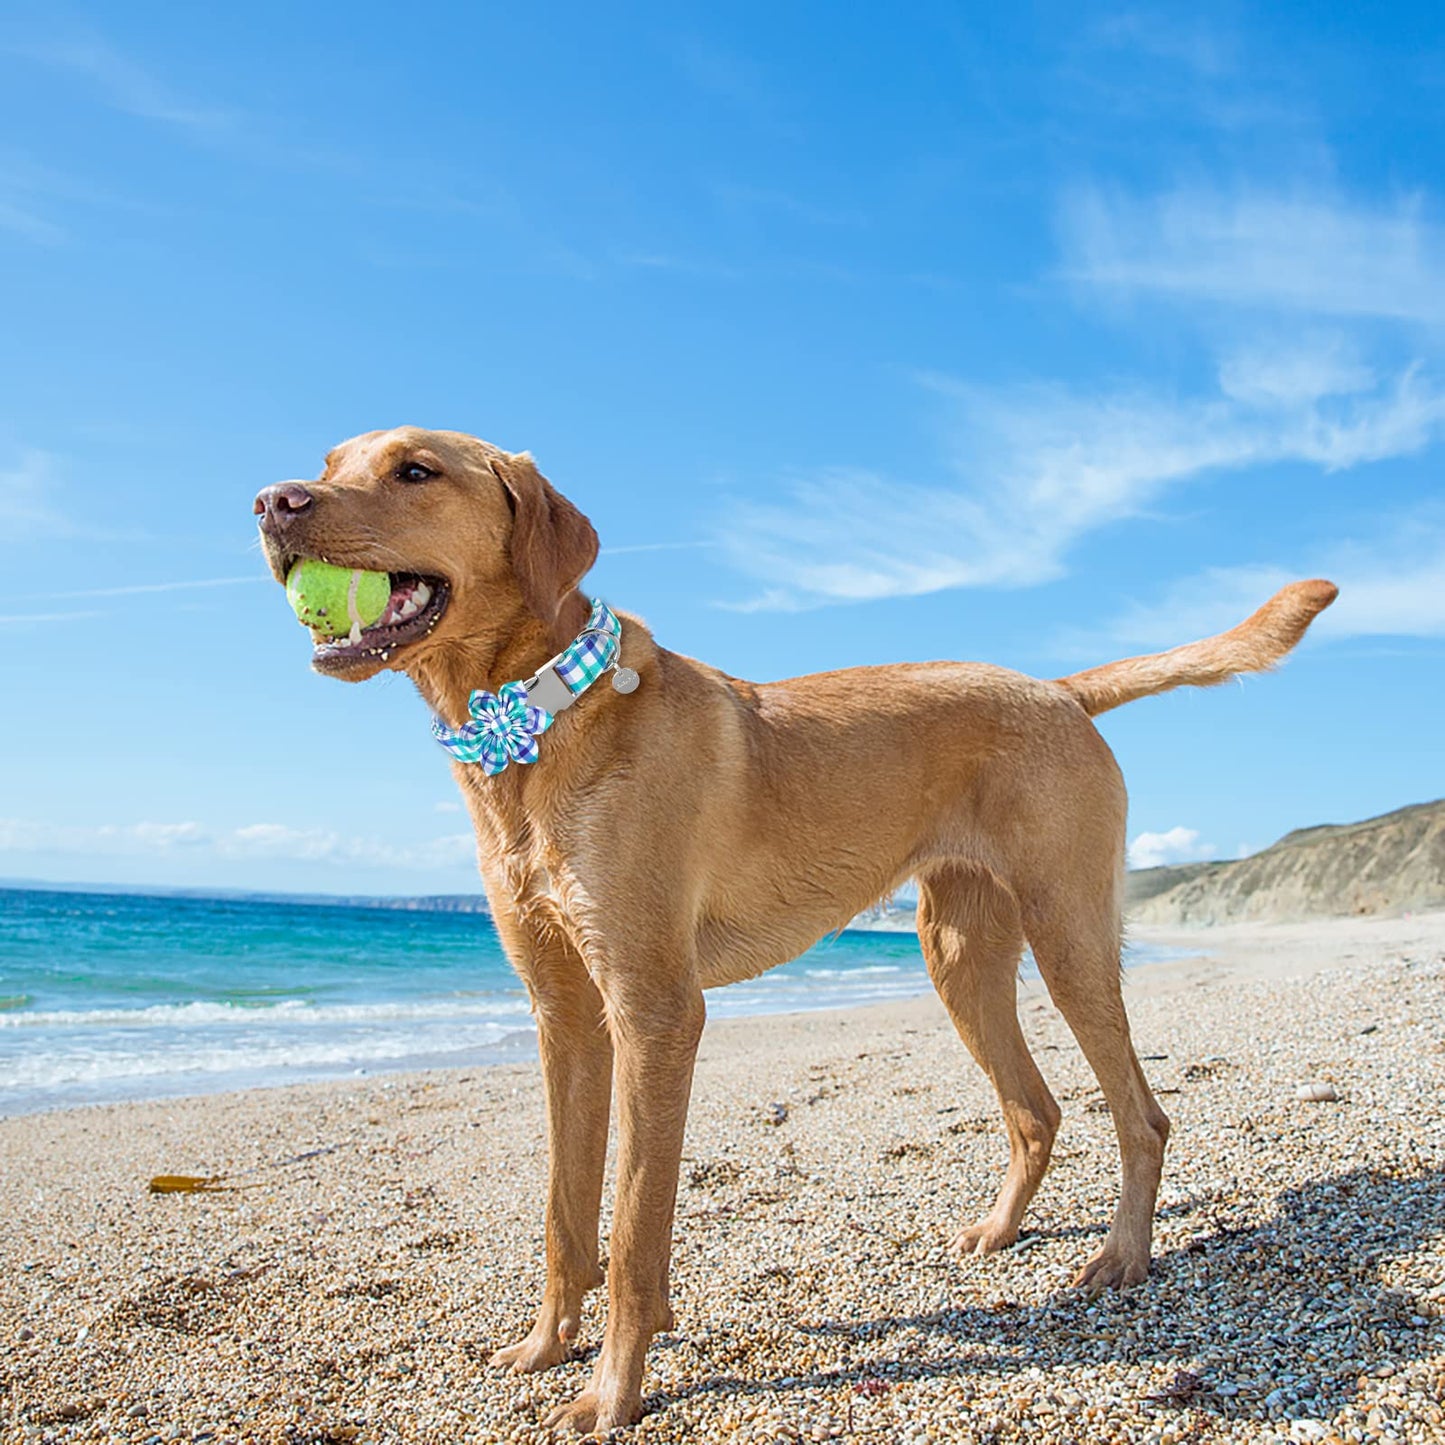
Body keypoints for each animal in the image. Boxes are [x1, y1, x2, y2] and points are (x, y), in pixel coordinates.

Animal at [254, 421, 1335, 1427]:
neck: (536, 718)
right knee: (1034, 1111)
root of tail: (1060, 689)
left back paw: (1121, 1255)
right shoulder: (563, 1016)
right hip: (957, 956)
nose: (271, 499)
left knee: (1140, 1115)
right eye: (331, 460)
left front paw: (612, 1389)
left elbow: (632, 1228)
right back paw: (997, 1231)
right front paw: (547, 1343)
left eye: (416, 470)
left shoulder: (654, 1011)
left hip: (1067, 938)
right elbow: (566, 1215)